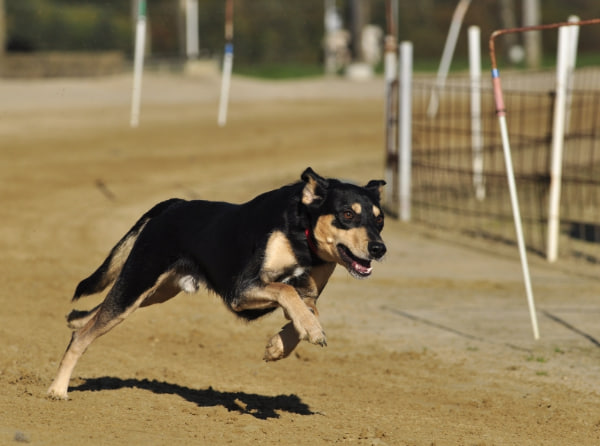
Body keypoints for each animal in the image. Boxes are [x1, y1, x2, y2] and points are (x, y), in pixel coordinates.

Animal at [45, 168, 384, 400]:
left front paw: (279, 346)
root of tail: (173, 204)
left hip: (155, 291)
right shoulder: (241, 290)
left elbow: (305, 308)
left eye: (380, 220)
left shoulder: (307, 292)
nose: (380, 249)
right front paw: (311, 331)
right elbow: (287, 291)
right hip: (138, 283)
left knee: (92, 317)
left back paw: (75, 320)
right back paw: (58, 390)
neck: (303, 236)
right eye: (347, 214)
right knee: (83, 337)